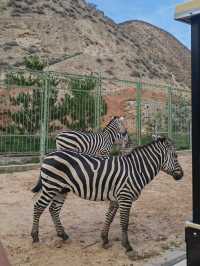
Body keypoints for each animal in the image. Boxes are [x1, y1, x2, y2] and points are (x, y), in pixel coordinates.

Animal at [30, 136, 183, 258]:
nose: (181, 175)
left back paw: (63, 235)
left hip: (61, 189)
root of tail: (49, 155)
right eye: (175, 156)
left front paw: (104, 240)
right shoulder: (125, 197)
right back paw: (35, 237)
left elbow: (109, 217)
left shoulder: (116, 198)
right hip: (51, 186)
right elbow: (124, 222)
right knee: (38, 207)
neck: (136, 170)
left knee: (53, 209)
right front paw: (128, 247)